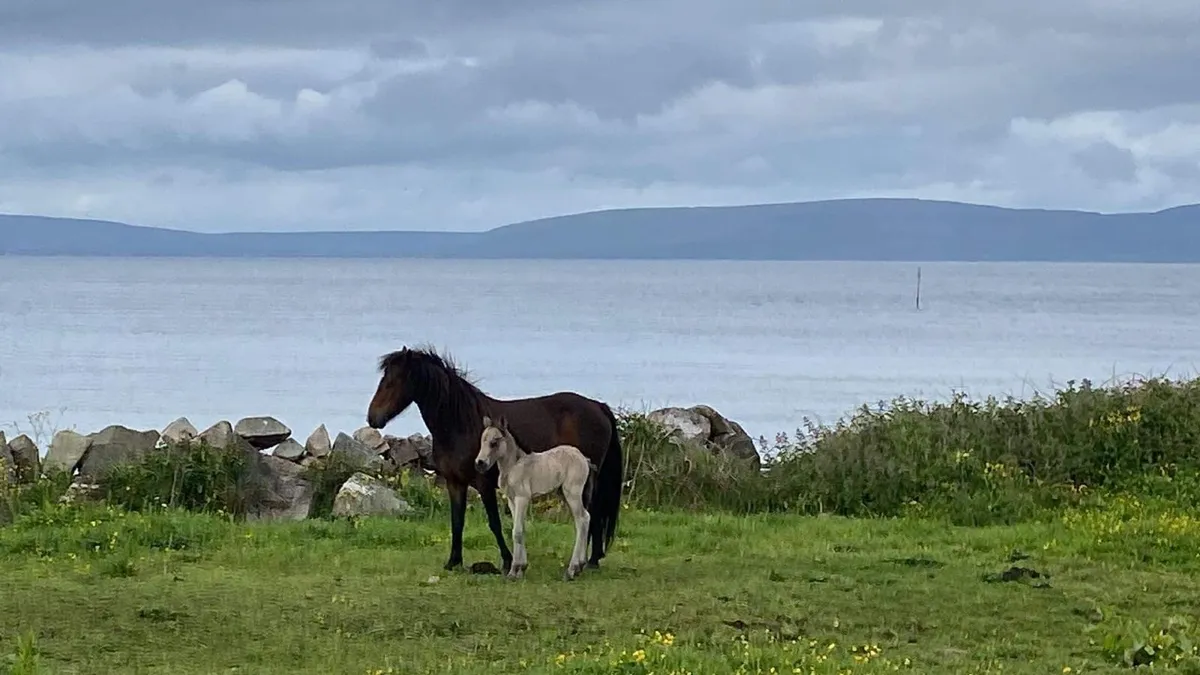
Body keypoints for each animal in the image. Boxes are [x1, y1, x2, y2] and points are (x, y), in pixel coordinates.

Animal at [477, 415, 598, 581]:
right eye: (482, 440)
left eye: (494, 442)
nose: (480, 463)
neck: (513, 466)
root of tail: (584, 459)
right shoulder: (512, 501)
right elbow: (520, 529)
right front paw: (521, 569)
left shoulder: (522, 499)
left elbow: (517, 532)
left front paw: (514, 570)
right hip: (564, 494)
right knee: (584, 518)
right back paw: (579, 566)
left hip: (572, 493)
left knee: (582, 519)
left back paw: (571, 570)